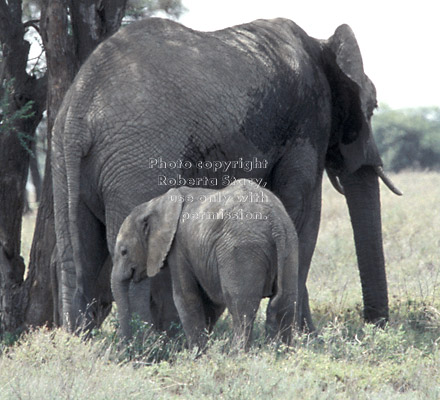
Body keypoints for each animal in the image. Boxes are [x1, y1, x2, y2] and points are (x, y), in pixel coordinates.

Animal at [111, 180, 300, 348]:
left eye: (123, 251)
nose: (128, 345)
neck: (156, 203)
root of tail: (275, 221)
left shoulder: (179, 247)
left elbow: (185, 297)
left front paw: (196, 355)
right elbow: (210, 302)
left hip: (242, 250)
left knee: (242, 307)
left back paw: (237, 356)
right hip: (289, 244)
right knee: (286, 303)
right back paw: (280, 353)